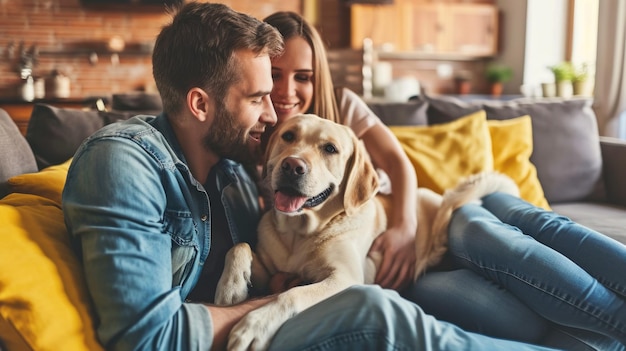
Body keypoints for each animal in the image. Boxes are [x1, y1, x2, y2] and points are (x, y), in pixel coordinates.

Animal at [214, 114, 516, 350]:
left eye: (330, 149)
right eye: (288, 136)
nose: (292, 165)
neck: (300, 234)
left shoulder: (345, 277)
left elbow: (292, 295)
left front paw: (255, 326)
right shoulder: (269, 270)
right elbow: (239, 246)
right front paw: (230, 285)